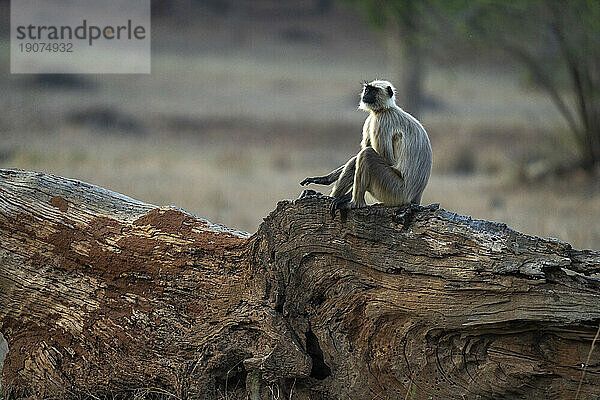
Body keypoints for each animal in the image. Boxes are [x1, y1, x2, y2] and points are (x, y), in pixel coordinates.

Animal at [300, 80, 432, 219]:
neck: (385, 109)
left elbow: (388, 160)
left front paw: (346, 197)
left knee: (367, 155)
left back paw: (354, 203)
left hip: (395, 191)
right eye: (367, 89)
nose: (365, 94)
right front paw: (326, 179)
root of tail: (415, 197)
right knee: (361, 156)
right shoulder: (371, 119)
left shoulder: (381, 121)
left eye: (373, 91)